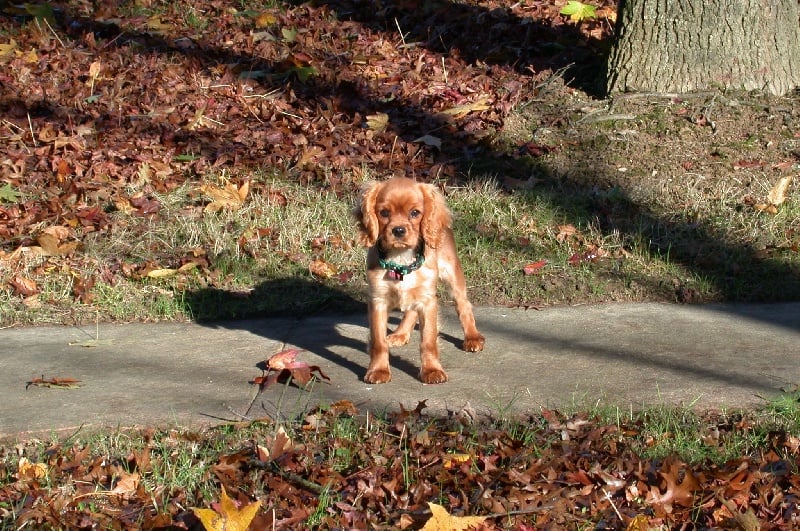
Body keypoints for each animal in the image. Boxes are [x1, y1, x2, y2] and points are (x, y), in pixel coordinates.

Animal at [354, 177, 482, 384]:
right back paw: (400, 334)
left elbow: (428, 340)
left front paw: (431, 371)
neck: (401, 261)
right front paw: (379, 370)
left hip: (452, 274)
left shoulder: (428, 301)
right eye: (384, 213)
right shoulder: (378, 300)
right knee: (410, 312)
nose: (398, 230)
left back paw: (473, 338)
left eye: (415, 213)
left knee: (463, 305)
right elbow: (378, 342)